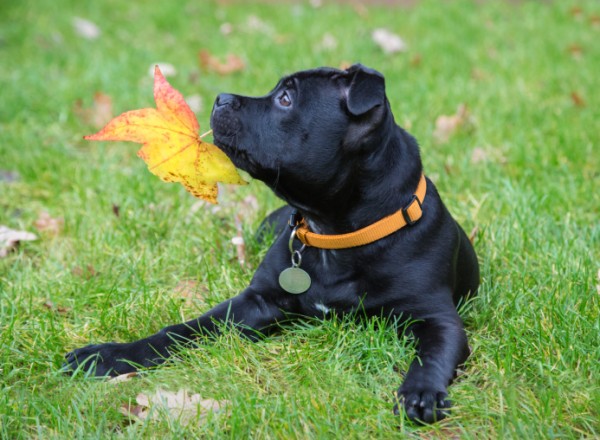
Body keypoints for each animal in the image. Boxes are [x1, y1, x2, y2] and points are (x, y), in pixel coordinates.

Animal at [64, 64, 478, 422]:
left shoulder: (436, 317)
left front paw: (421, 392)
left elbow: (431, 356)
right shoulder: (255, 302)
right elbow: (184, 329)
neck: (333, 232)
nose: (220, 97)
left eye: (285, 99)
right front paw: (109, 355)